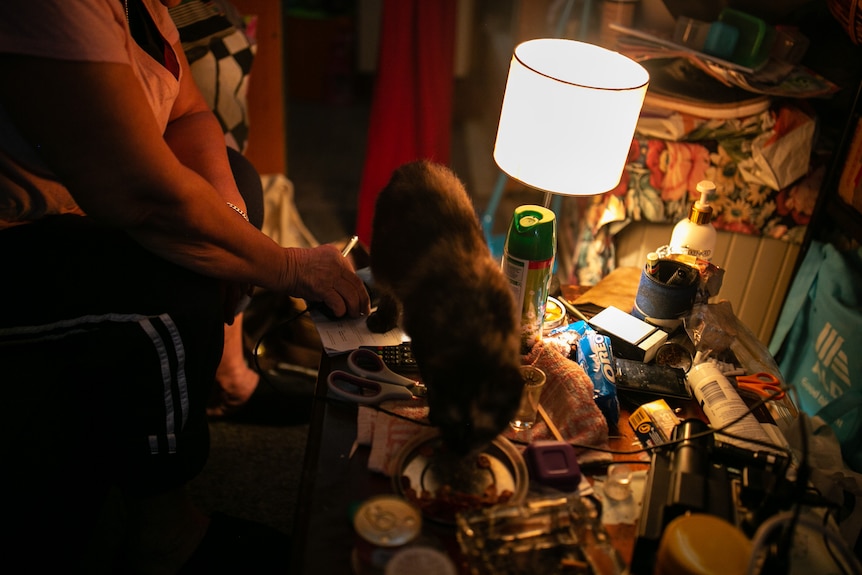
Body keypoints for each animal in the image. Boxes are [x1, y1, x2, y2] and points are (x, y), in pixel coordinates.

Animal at [366, 161, 524, 454]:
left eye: (479, 432)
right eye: (454, 423)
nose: (458, 451)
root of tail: (416, 166)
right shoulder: (422, 344)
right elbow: (429, 382)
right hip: (383, 259)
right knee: (387, 291)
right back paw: (383, 319)